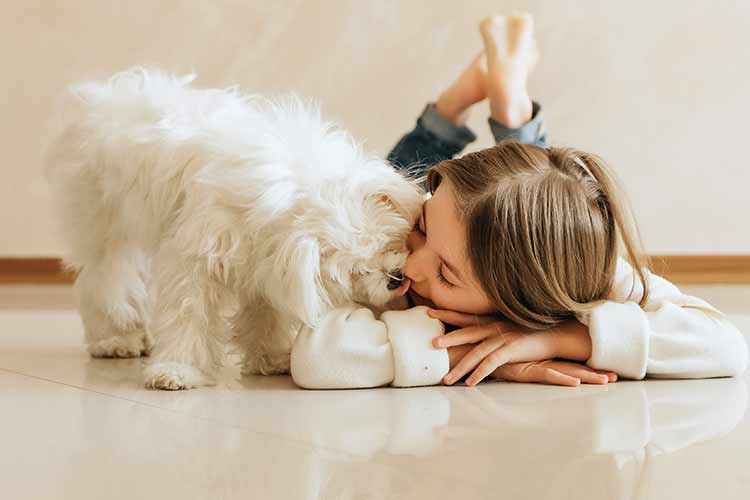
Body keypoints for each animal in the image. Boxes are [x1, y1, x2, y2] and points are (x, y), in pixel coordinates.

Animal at [45, 66, 424, 388]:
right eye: (355, 272)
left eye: (390, 243)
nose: (394, 279)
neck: (297, 190)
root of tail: (100, 95)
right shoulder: (196, 259)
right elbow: (189, 314)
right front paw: (178, 371)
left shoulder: (264, 263)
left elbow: (265, 316)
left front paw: (272, 358)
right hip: (103, 227)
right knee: (105, 282)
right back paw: (116, 339)